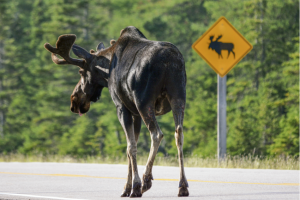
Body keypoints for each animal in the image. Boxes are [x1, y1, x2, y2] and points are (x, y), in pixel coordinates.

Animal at [44, 26, 190, 197]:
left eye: (81, 72)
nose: (74, 101)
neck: (107, 71)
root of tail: (168, 61)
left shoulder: (122, 108)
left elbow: (130, 147)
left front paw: (133, 187)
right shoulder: (135, 113)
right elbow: (132, 145)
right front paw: (127, 187)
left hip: (144, 101)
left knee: (157, 134)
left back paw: (146, 181)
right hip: (178, 97)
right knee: (179, 133)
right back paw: (183, 186)